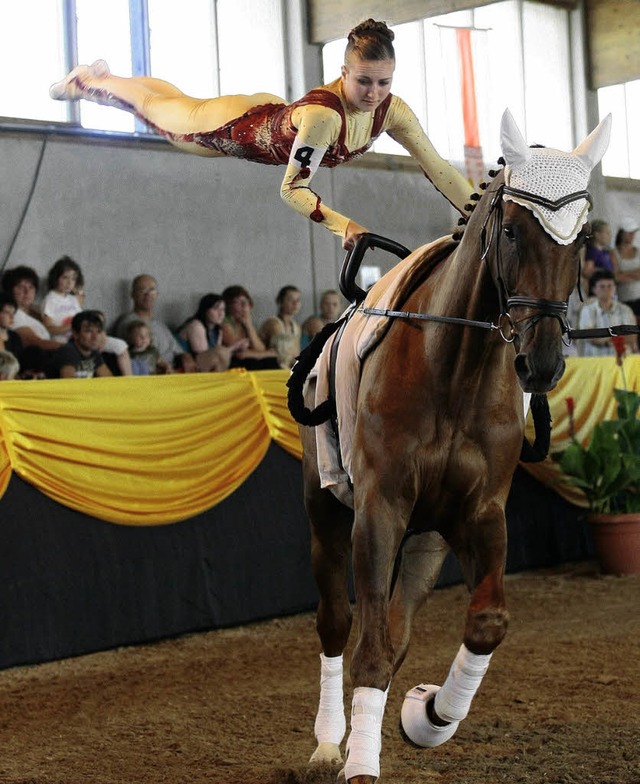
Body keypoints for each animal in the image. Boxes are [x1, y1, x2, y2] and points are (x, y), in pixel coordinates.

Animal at [298, 110, 612, 784]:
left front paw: (429, 716)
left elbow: (486, 623)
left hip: (427, 539)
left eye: (580, 239)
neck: (454, 367)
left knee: (396, 628)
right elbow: (366, 649)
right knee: (339, 625)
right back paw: (330, 744)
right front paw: (360, 765)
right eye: (513, 229)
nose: (541, 364)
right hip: (328, 513)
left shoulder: (480, 514)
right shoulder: (379, 509)